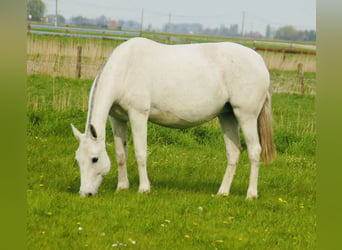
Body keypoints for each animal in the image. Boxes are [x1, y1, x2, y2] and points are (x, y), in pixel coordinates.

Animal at [71, 37, 276, 199]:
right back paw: (222, 192)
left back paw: (251, 194)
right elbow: (121, 154)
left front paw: (144, 189)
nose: (85, 193)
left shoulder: (138, 115)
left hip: (246, 116)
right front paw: (122, 187)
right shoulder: (117, 119)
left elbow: (140, 153)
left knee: (254, 151)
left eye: (94, 159)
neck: (126, 68)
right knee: (233, 152)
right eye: (78, 159)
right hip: (227, 116)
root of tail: (259, 60)